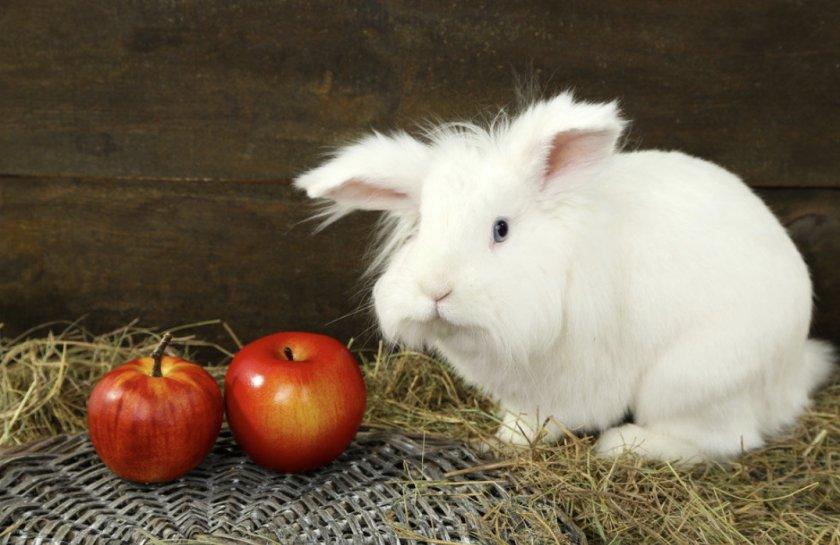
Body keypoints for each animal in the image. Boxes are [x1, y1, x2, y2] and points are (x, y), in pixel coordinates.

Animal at [296, 93, 832, 464]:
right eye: (422, 226)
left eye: (501, 229)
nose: (436, 289)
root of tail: (792, 370)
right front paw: (506, 436)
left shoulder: (573, 385)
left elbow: (555, 418)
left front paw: (516, 441)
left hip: (690, 382)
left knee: (724, 440)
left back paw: (624, 445)